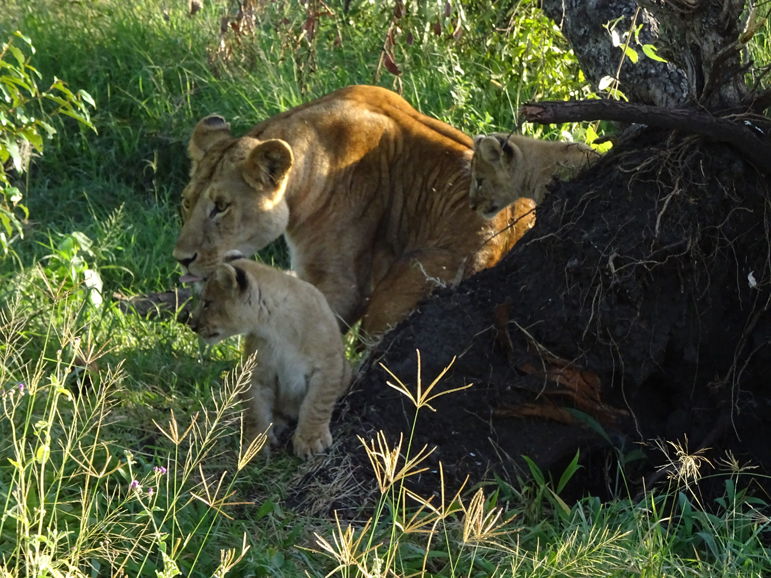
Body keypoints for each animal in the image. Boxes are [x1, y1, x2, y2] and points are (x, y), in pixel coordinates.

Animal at [190, 257, 351, 458]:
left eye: (207, 302)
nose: (191, 325)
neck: (275, 327)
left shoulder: (329, 364)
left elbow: (316, 404)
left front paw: (311, 441)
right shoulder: (257, 372)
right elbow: (256, 411)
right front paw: (255, 446)